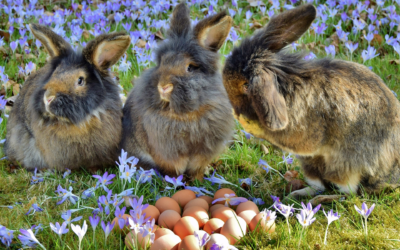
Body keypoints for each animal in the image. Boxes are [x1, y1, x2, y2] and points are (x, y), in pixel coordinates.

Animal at [122, 2, 234, 181]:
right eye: (162, 62)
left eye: (190, 68)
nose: (163, 86)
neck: (186, 114)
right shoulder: (167, 152)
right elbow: (174, 168)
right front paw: (175, 181)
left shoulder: (203, 152)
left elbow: (197, 169)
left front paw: (198, 181)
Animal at [222, 4, 400, 199]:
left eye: (246, 85)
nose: (233, 108)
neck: (284, 85)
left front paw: (246, 123)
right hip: (311, 165)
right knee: (320, 185)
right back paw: (296, 195)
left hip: (344, 167)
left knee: (347, 193)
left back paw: (319, 199)